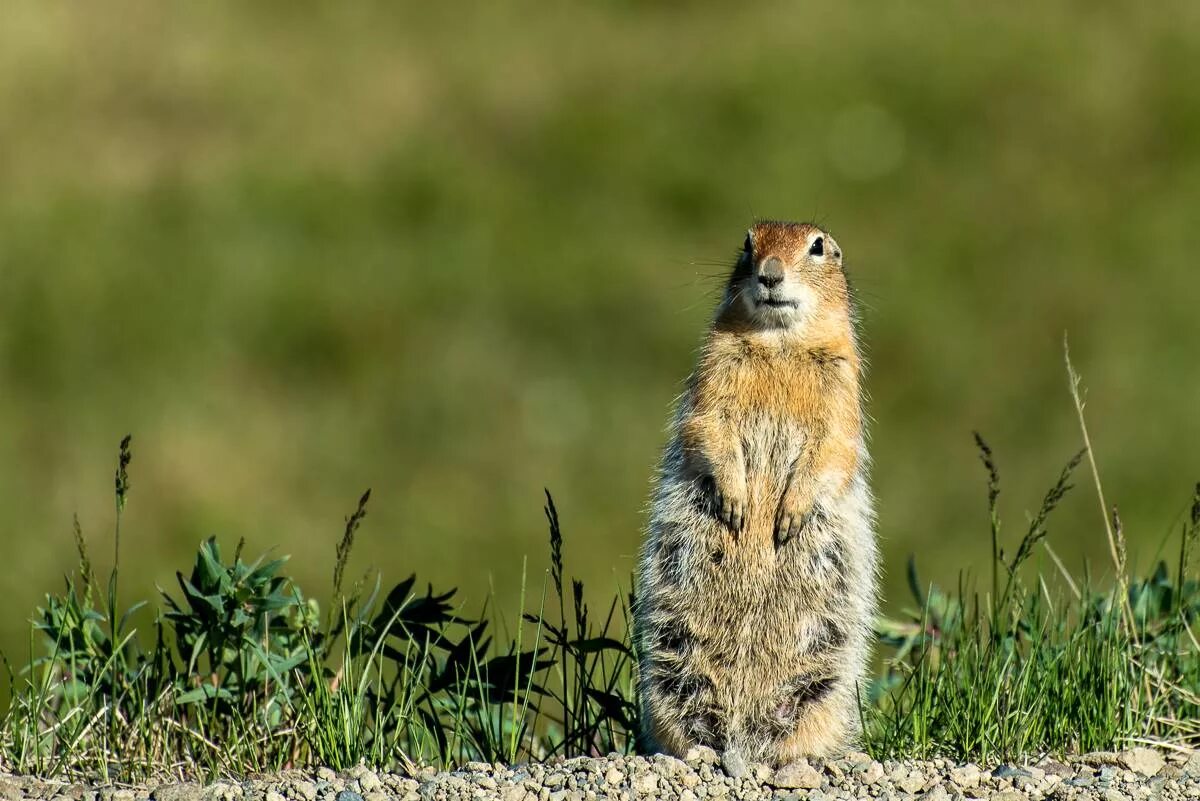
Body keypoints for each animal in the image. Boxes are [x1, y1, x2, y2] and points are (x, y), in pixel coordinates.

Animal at [633, 217, 878, 762]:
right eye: (748, 244)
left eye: (817, 247)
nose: (769, 273)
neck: (780, 343)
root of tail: (743, 742)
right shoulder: (713, 370)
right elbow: (707, 426)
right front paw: (735, 502)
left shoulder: (842, 383)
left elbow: (834, 446)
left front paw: (788, 516)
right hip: (671, 665)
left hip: (826, 676)